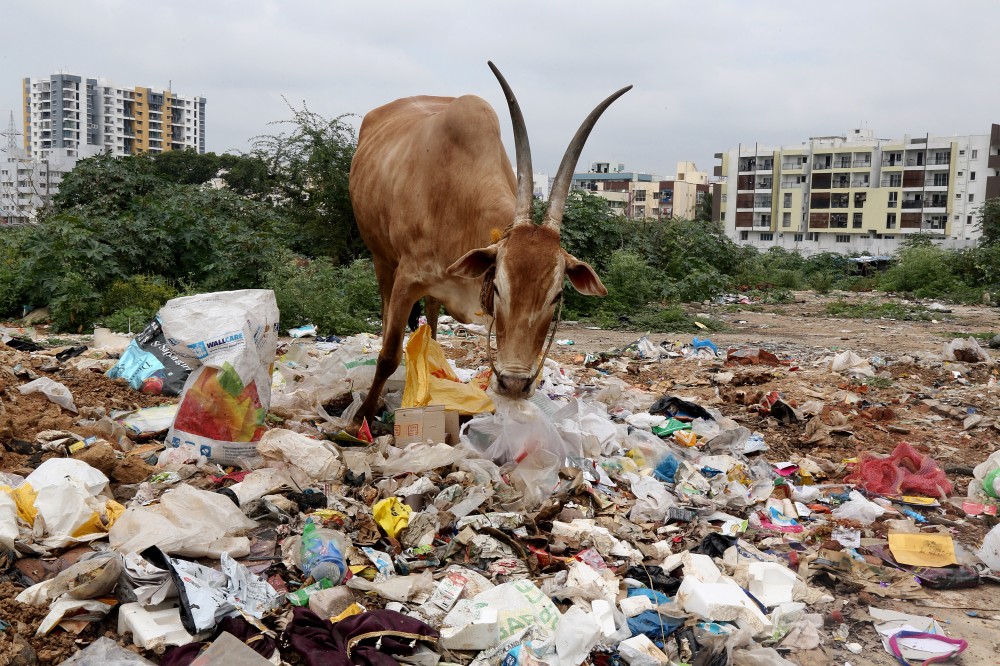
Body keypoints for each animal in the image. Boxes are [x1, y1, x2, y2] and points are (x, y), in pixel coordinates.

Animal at [352, 63, 628, 426]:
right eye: (498, 288)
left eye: (556, 296)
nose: (514, 383)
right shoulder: (406, 280)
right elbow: (387, 354)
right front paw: (361, 417)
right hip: (381, 258)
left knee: (433, 319)